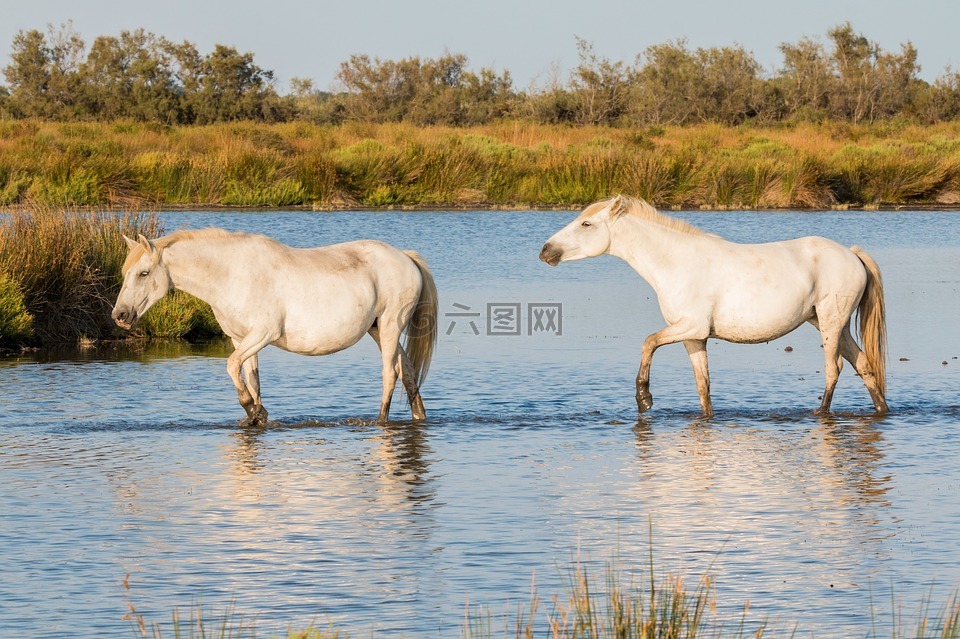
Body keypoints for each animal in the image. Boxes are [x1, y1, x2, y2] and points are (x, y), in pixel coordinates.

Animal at [112, 229, 438, 426]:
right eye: (127, 273)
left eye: (143, 273)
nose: (120, 315)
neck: (231, 274)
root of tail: (406, 257)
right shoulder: (240, 339)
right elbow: (251, 379)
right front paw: (256, 416)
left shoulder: (262, 334)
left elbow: (231, 367)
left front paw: (253, 410)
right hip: (378, 330)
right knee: (408, 373)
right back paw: (419, 416)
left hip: (390, 326)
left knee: (390, 375)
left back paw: (380, 421)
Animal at [539, 195, 888, 418]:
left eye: (586, 224)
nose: (545, 250)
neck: (675, 262)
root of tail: (852, 254)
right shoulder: (694, 337)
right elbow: (703, 386)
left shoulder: (690, 326)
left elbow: (648, 342)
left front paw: (644, 398)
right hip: (832, 325)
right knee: (864, 365)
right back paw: (882, 409)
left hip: (830, 322)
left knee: (834, 369)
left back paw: (820, 412)